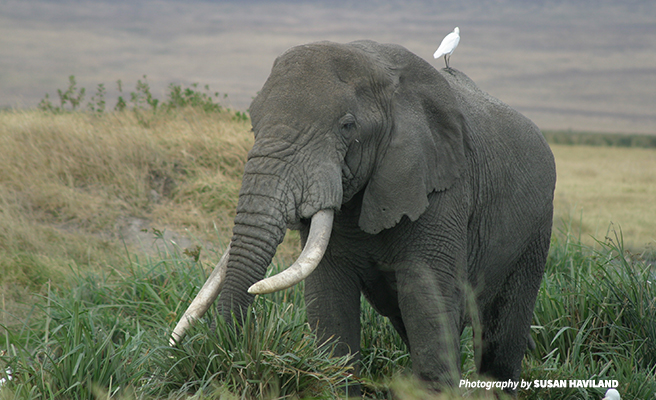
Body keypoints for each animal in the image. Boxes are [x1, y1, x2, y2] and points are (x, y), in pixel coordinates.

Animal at [172, 39, 556, 396]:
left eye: (347, 125)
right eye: (253, 123)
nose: (223, 356)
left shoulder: (443, 188)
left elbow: (426, 298)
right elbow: (329, 300)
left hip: (537, 228)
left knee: (501, 339)